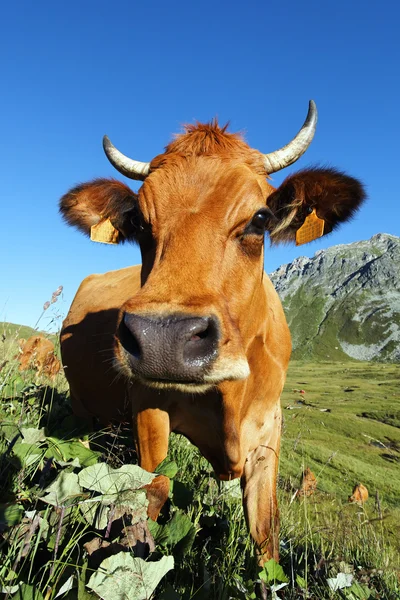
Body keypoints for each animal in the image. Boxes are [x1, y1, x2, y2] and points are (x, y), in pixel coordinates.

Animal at [59, 103, 366, 568]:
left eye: (260, 218)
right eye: (139, 223)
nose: (163, 339)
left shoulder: (269, 431)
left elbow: (265, 529)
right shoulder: (148, 410)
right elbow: (153, 491)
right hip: (80, 405)